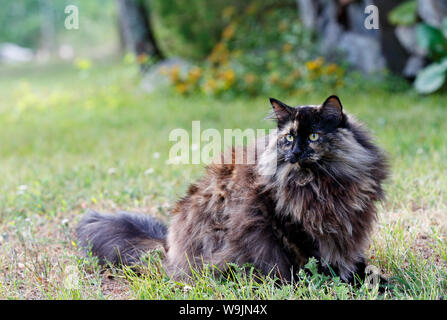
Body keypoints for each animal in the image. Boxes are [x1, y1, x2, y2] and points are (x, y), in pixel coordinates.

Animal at [76, 94, 388, 282]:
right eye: (288, 138)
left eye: (313, 136)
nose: (296, 152)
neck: (319, 183)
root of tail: (169, 245)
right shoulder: (294, 228)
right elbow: (319, 261)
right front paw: (341, 282)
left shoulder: (344, 228)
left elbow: (355, 261)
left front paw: (372, 279)